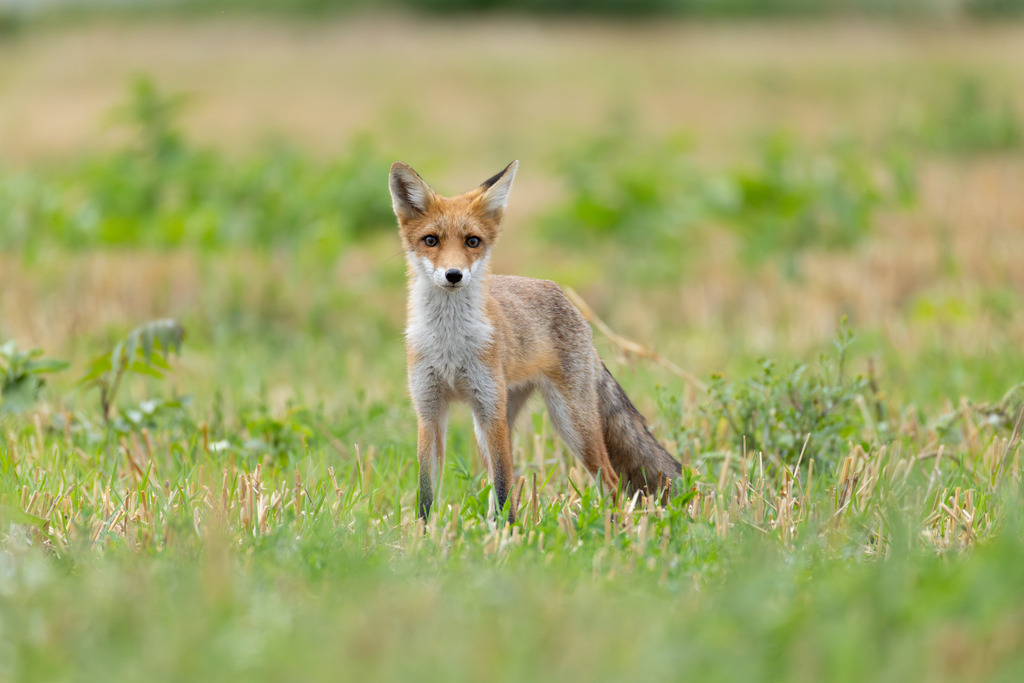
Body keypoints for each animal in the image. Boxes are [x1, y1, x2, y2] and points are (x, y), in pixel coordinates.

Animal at [389, 160, 682, 522]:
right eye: (431, 240)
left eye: (472, 241)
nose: (454, 275)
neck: (450, 343)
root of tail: (564, 297)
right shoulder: (429, 411)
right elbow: (428, 494)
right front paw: (424, 533)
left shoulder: (489, 407)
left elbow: (503, 488)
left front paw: (507, 533)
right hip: (493, 423)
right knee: (504, 481)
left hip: (567, 421)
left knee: (610, 481)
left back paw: (612, 526)